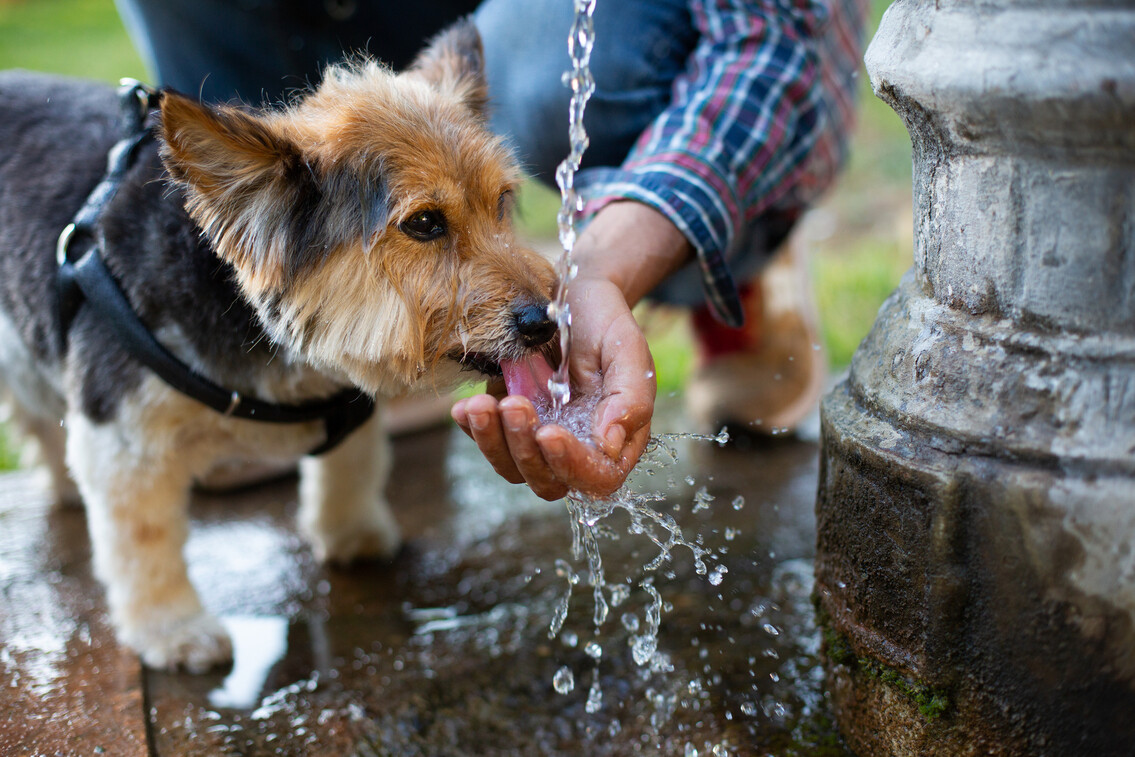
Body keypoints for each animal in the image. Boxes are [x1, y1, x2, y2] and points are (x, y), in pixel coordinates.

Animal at [0, 17, 558, 671]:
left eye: (501, 203)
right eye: (424, 223)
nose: (545, 321)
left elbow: (355, 461)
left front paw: (353, 532)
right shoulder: (122, 435)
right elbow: (143, 541)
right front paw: (173, 629)